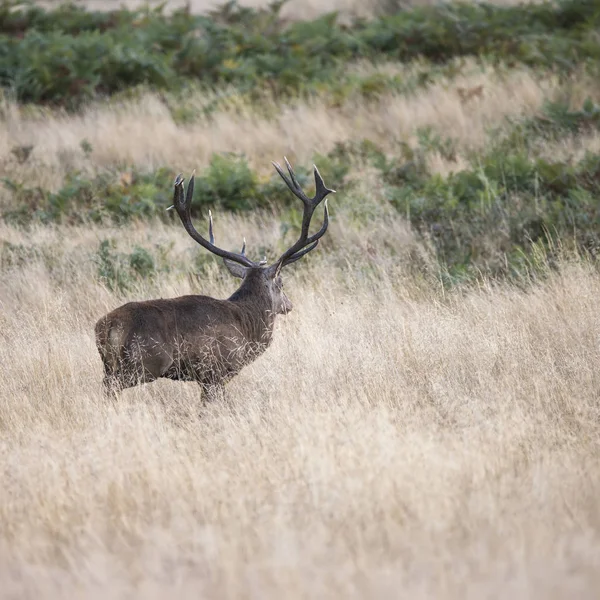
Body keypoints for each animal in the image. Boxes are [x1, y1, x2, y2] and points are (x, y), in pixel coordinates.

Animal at [96, 159, 336, 400]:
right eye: (281, 283)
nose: (289, 305)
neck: (247, 328)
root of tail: (106, 326)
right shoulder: (216, 371)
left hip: (110, 365)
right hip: (144, 363)